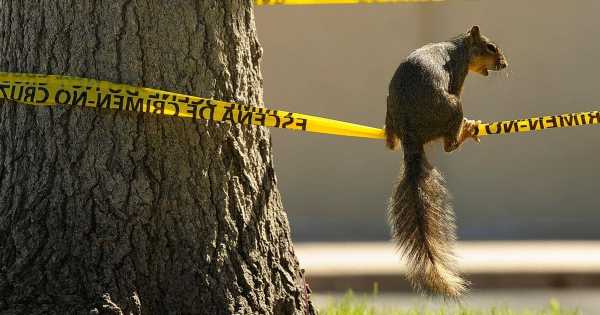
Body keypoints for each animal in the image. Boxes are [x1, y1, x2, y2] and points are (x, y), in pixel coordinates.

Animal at [384, 25, 506, 298]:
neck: (458, 48)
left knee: (389, 141)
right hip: (453, 107)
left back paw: (389, 137)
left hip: (389, 110)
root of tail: (410, 132)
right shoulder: (458, 74)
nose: (505, 64)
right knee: (450, 144)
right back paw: (466, 130)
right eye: (490, 47)